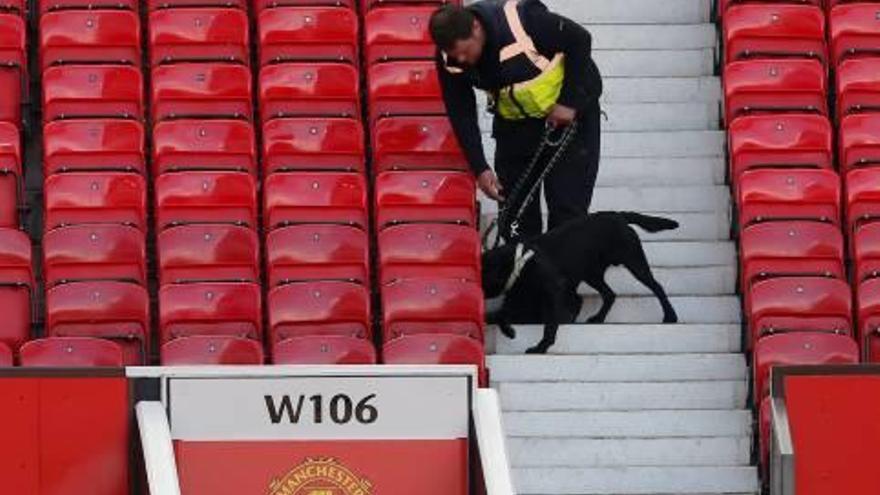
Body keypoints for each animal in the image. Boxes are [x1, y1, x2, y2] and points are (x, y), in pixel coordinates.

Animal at [482, 211, 680, 354]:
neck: (520, 260)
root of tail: (617, 215)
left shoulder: (554, 289)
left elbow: (550, 325)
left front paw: (541, 347)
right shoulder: (523, 294)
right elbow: (500, 313)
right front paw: (509, 330)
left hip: (634, 262)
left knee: (657, 287)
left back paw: (670, 316)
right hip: (592, 274)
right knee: (610, 294)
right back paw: (598, 318)